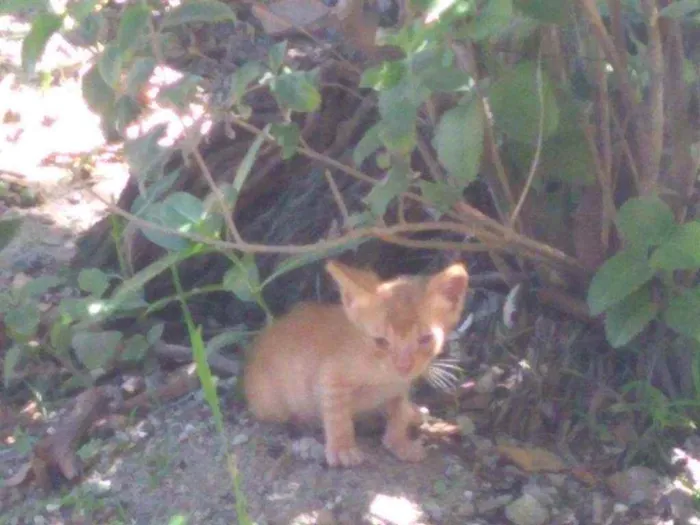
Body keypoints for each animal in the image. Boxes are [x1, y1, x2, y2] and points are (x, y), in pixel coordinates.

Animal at [243, 258, 468, 466]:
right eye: (381, 341)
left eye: (425, 339)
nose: (404, 365)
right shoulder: (330, 376)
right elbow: (337, 412)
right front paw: (342, 447)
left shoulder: (398, 388)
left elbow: (397, 412)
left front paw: (398, 442)